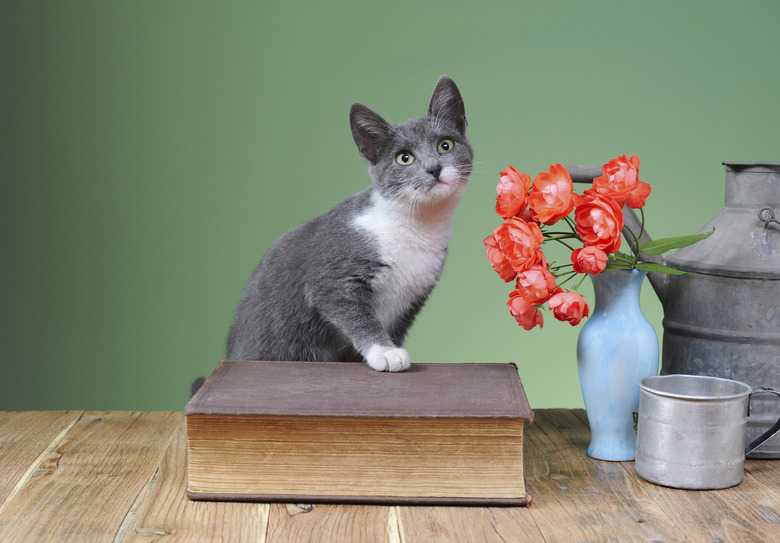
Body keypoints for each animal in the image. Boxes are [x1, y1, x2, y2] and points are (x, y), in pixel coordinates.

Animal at [222, 76, 472, 372]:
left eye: (445, 145)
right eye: (404, 158)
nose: (434, 168)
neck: (416, 225)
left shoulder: (414, 298)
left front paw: (388, 348)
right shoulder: (331, 278)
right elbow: (356, 315)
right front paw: (385, 352)